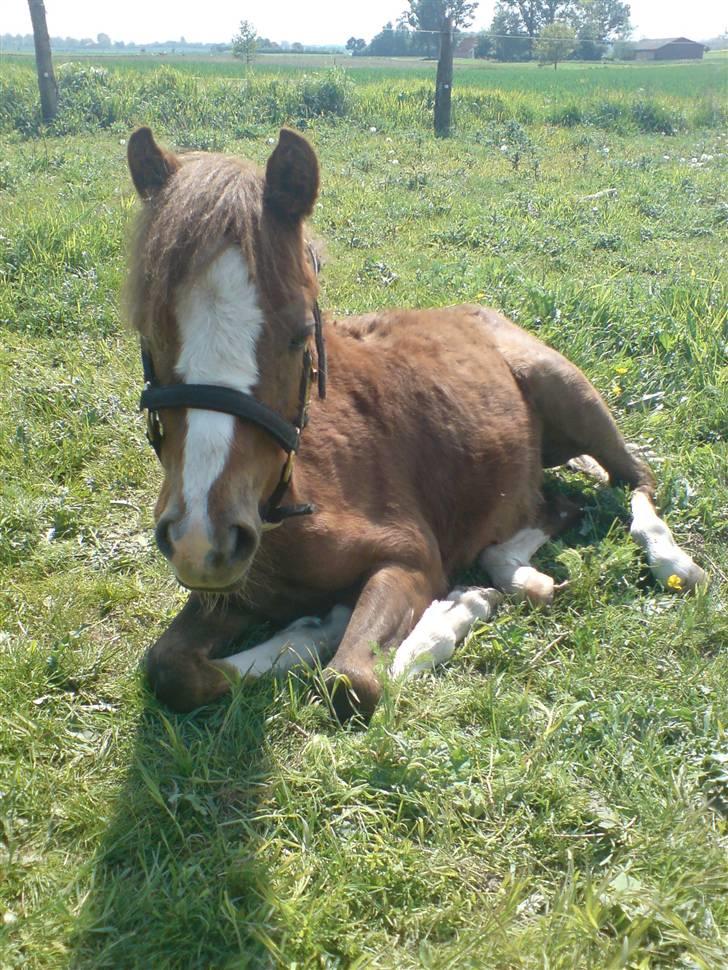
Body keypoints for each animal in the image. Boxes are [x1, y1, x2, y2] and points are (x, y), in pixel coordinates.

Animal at [125, 126, 705, 721]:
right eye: (148, 333)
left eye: (298, 333)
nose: (203, 540)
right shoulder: (236, 591)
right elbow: (170, 669)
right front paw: (315, 628)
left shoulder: (412, 558)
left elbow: (357, 679)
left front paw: (452, 612)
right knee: (559, 508)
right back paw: (517, 570)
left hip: (569, 393)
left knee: (635, 481)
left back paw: (672, 562)